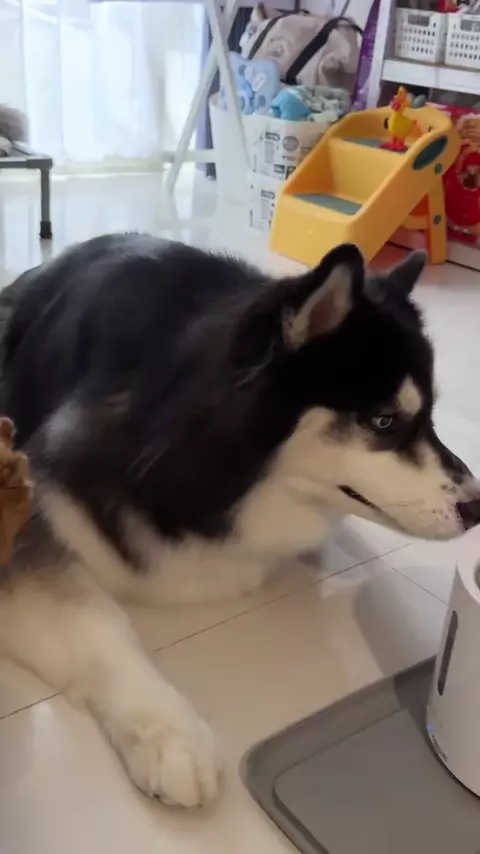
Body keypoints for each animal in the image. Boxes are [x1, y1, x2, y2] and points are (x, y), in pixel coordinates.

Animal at [0, 233, 479, 809]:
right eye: (384, 421)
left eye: (429, 418)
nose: (478, 506)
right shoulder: (26, 516)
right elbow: (101, 624)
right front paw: (170, 734)